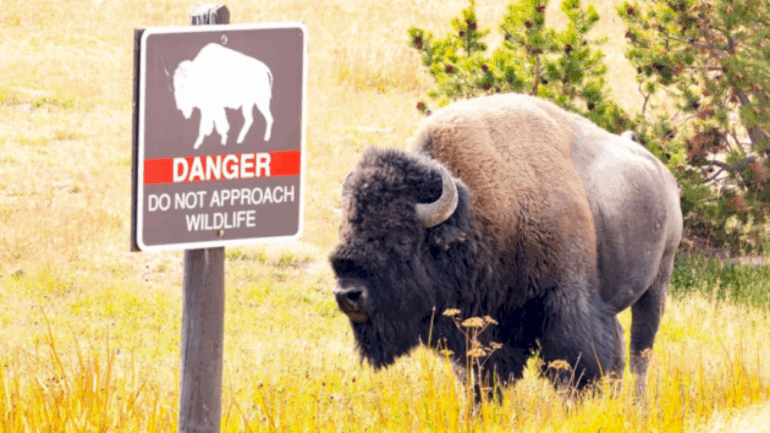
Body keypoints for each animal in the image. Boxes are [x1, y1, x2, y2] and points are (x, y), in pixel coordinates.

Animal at [330, 93, 683, 396]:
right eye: (345, 229)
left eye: (402, 239)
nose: (348, 294)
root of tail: (663, 176)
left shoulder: (565, 303)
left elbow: (575, 364)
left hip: (657, 284)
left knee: (640, 352)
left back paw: (637, 404)